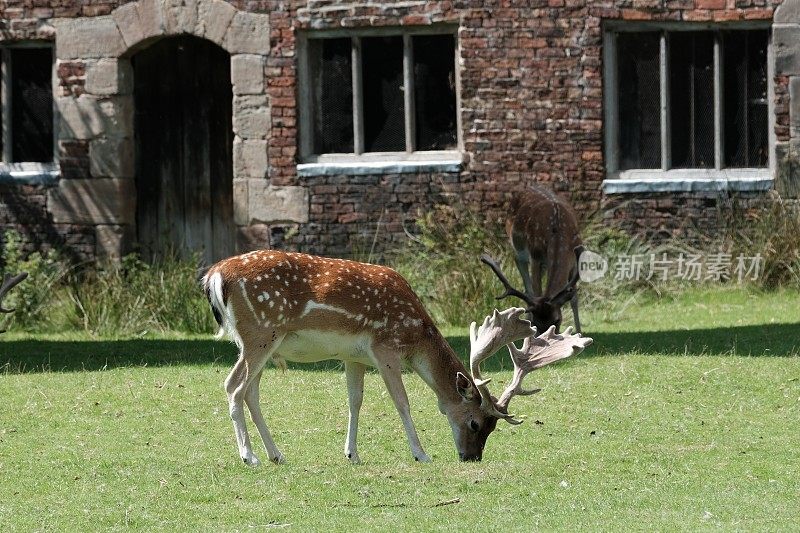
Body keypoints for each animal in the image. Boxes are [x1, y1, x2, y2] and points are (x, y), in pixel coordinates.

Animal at [203, 251, 592, 464]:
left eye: (491, 428)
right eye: (476, 424)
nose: (471, 457)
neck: (415, 334)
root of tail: (214, 276)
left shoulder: (354, 357)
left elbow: (355, 401)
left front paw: (352, 454)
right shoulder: (385, 348)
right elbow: (402, 401)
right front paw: (421, 453)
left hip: (260, 342)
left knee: (251, 392)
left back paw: (276, 454)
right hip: (260, 333)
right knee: (233, 386)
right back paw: (249, 456)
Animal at [484, 185, 584, 330]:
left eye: (557, 320)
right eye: (536, 322)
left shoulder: (574, 261)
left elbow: (574, 299)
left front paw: (579, 332)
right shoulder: (535, 256)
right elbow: (536, 292)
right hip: (519, 253)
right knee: (528, 288)